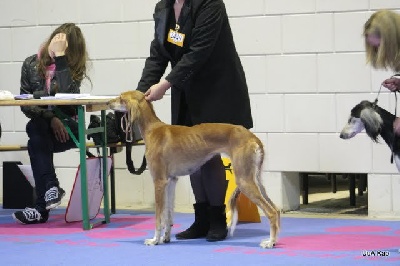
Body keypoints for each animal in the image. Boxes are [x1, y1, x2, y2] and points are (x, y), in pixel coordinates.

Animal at [108, 90, 280, 248]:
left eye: (121, 98)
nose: (108, 103)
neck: (153, 130)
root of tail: (252, 137)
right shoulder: (170, 181)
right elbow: (168, 215)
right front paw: (166, 238)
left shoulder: (159, 181)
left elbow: (158, 217)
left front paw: (154, 240)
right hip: (256, 179)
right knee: (276, 210)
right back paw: (274, 239)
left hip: (244, 180)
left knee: (271, 212)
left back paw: (270, 242)